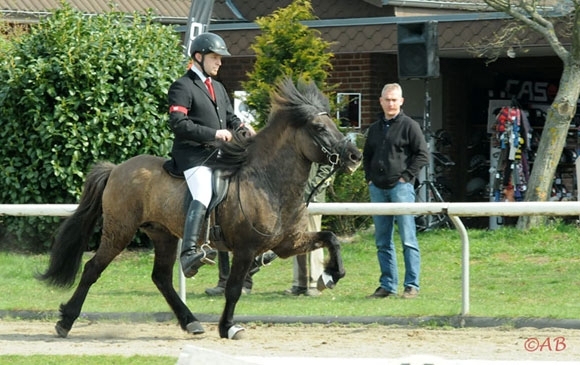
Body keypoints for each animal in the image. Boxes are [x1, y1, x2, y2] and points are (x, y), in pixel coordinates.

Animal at [37, 77, 362, 338]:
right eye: (319, 127)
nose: (355, 156)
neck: (267, 182)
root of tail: (117, 169)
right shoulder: (245, 249)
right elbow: (233, 289)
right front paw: (228, 327)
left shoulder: (287, 244)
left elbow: (331, 238)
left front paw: (329, 276)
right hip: (120, 232)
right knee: (93, 268)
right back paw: (65, 322)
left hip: (163, 234)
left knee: (161, 278)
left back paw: (190, 321)